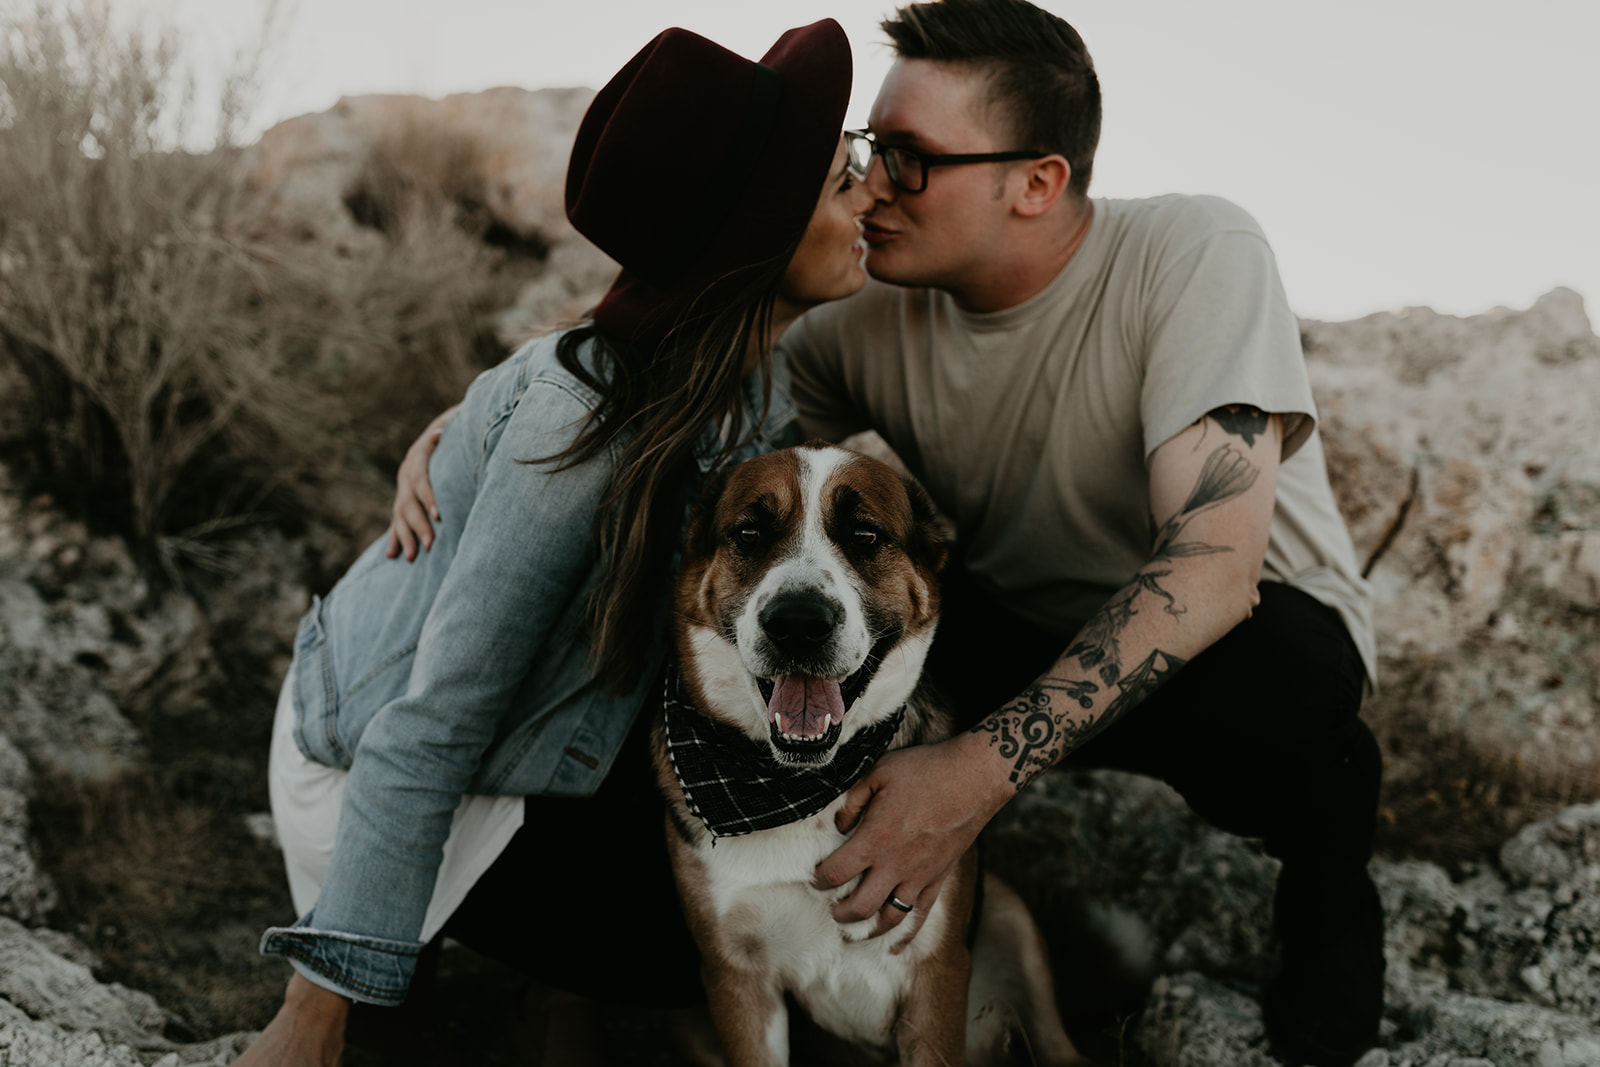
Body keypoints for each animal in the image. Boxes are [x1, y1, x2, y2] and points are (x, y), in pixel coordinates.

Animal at [652, 441, 1088, 1067]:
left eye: (864, 535)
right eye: (749, 533)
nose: (797, 623)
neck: (799, 788)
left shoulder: (933, 972)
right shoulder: (736, 976)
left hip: (1013, 921)